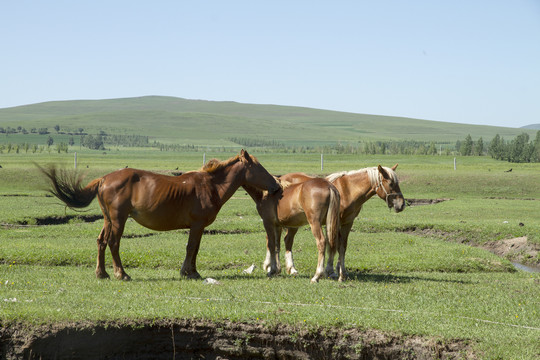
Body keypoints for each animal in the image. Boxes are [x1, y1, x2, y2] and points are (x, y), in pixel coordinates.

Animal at [40, 150, 280, 280]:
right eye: (259, 167)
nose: (276, 186)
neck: (210, 185)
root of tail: (104, 179)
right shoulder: (197, 225)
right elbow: (191, 248)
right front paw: (189, 272)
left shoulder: (199, 227)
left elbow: (195, 248)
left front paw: (192, 271)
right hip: (118, 220)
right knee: (113, 243)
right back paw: (121, 274)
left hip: (108, 219)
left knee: (101, 241)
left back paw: (102, 273)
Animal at [274, 165, 404, 280]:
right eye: (391, 184)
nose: (401, 204)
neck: (347, 190)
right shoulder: (336, 223)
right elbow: (333, 244)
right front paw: (331, 271)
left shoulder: (347, 223)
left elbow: (342, 245)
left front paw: (341, 271)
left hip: (294, 223)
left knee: (287, 240)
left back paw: (291, 269)